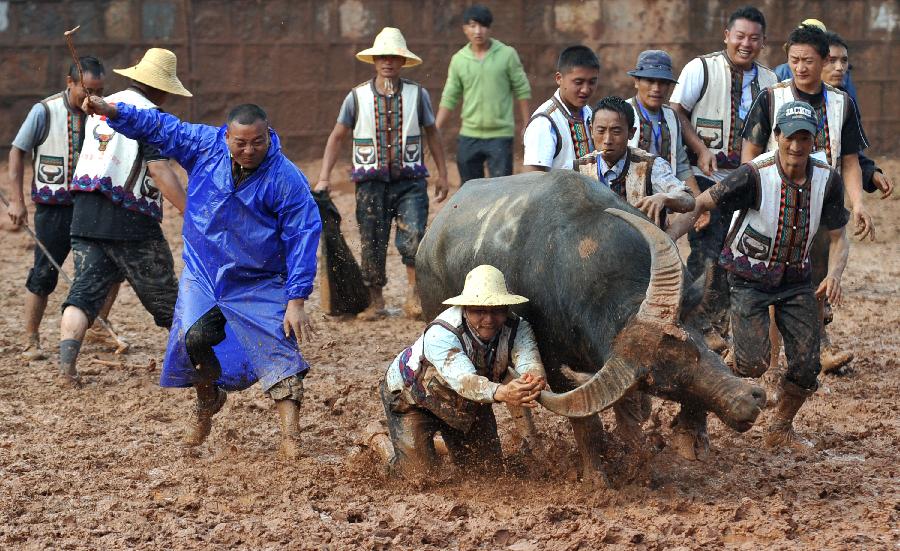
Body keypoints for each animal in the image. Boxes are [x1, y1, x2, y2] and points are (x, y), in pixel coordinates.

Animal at [416, 171, 768, 484]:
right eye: (666, 385)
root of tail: (427, 243)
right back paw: (534, 448)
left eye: (696, 347)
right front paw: (598, 478)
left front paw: (649, 456)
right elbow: (587, 424)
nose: (749, 401)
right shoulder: (555, 367)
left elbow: (631, 414)